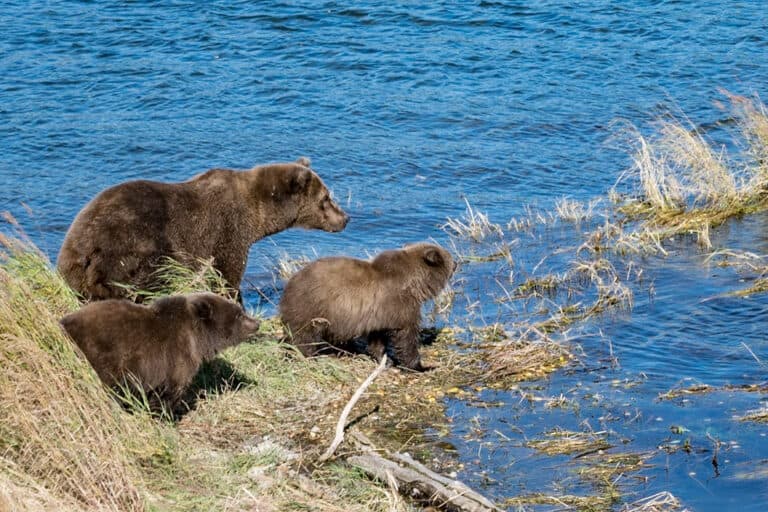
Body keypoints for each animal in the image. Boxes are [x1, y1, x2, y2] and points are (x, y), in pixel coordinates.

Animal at [56, 156, 348, 300]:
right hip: (132, 245)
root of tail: (81, 249)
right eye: (326, 198)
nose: (345, 218)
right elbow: (227, 273)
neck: (258, 213)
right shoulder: (228, 231)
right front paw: (234, 300)